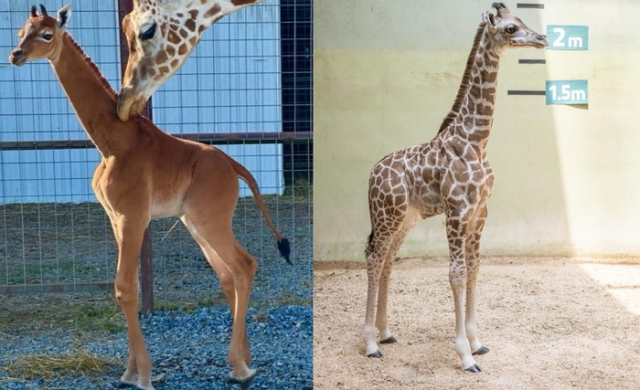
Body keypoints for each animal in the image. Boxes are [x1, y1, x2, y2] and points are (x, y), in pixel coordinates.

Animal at [8, 3, 288, 390]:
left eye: (47, 34)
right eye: (21, 31)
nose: (15, 55)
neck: (111, 142)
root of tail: (234, 165)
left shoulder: (133, 216)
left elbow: (124, 286)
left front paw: (142, 375)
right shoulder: (116, 218)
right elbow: (133, 288)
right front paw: (129, 372)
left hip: (209, 220)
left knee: (244, 265)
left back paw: (242, 367)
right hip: (194, 223)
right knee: (228, 274)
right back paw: (243, 362)